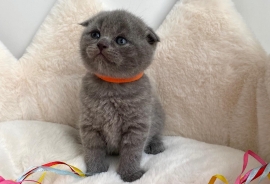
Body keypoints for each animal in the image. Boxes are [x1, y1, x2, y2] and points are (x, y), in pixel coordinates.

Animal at [78, 10, 165, 183]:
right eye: (95, 34)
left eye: (121, 40)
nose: (101, 44)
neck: (112, 87)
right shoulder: (89, 125)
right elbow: (93, 149)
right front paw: (95, 173)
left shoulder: (137, 126)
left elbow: (132, 152)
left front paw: (130, 174)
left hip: (158, 114)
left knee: (157, 132)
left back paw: (155, 145)